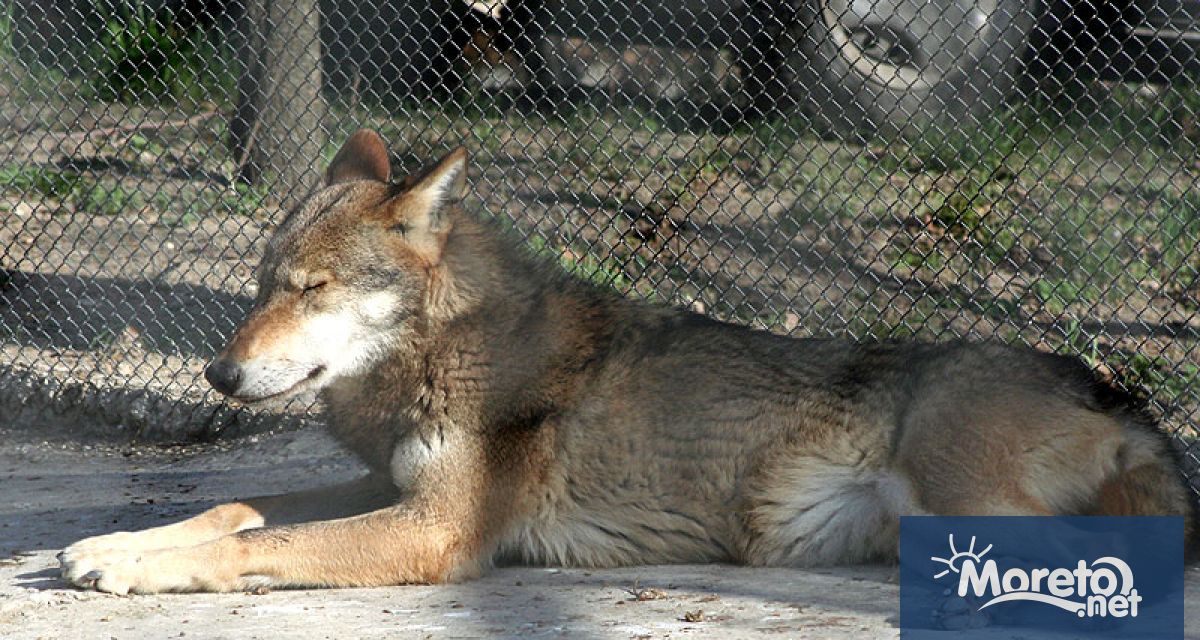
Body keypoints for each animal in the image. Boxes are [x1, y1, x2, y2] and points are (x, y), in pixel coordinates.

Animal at [56, 129, 1190, 593]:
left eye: (311, 290)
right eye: (259, 285)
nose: (218, 377)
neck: (451, 347)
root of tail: (1113, 389)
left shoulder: (434, 530)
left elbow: (259, 542)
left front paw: (131, 569)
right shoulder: (391, 489)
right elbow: (234, 509)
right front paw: (110, 544)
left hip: (965, 508)